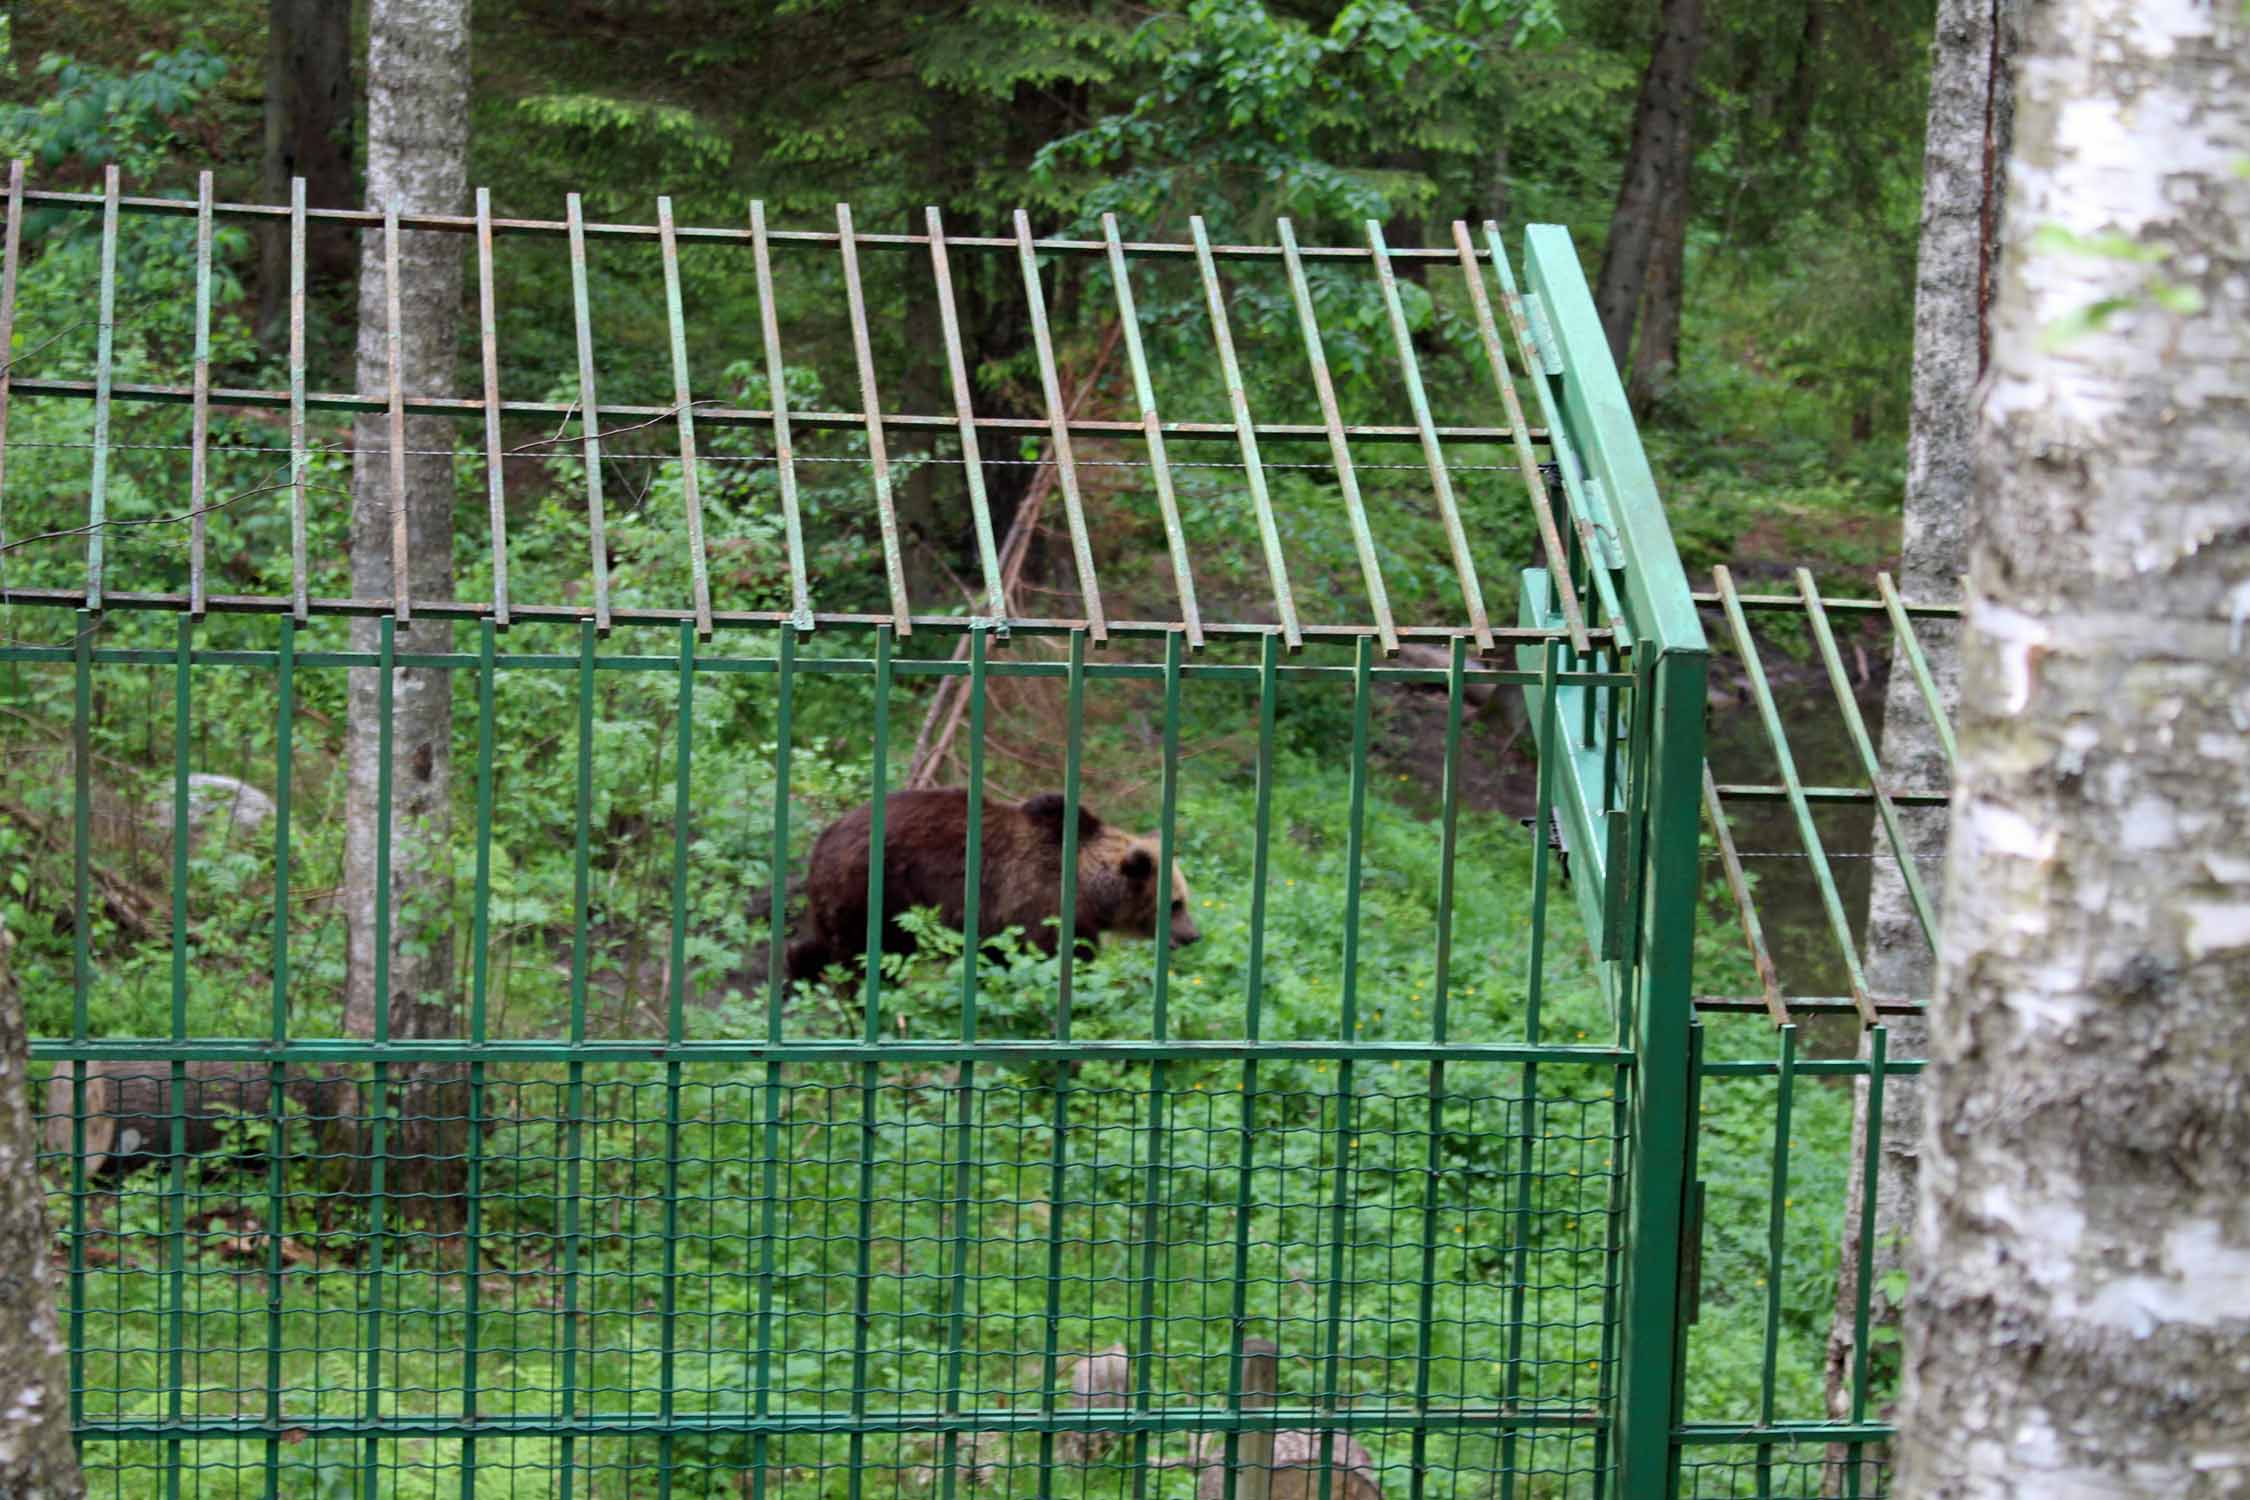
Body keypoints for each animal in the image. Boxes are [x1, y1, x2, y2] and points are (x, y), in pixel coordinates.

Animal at [778, 787, 1197, 985]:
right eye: (1175, 903)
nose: (1193, 935)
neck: (1086, 888)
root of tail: (824, 838)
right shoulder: (1036, 904)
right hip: (874, 892)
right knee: (862, 959)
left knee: (820, 949)